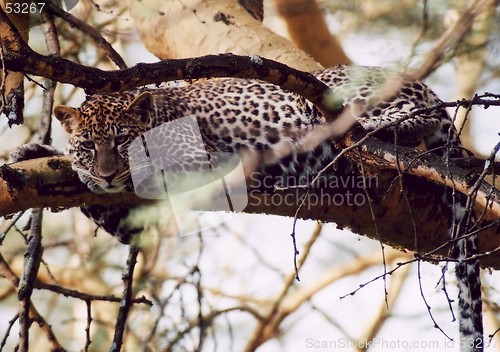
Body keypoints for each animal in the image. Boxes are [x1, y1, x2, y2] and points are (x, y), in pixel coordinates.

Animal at [13, 64, 480, 350]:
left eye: (123, 142)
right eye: (90, 145)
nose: (107, 174)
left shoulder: (190, 161)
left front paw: (71, 168)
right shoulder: (131, 222)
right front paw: (36, 151)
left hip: (351, 91)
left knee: (405, 119)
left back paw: (360, 128)